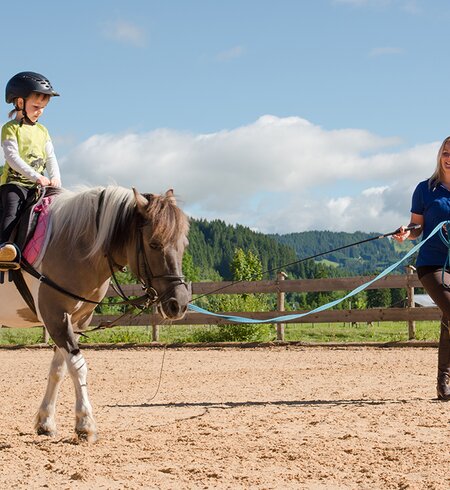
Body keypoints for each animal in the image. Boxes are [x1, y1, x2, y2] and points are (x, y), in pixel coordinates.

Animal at [0, 186, 190, 442]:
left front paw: (46, 422)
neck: (71, 244)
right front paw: (85, 424)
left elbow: (58, 370)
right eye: (153, 244)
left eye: (183, 244)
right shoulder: (55, 317)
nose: (179, 304)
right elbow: (78, 367)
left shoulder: (75, 321)